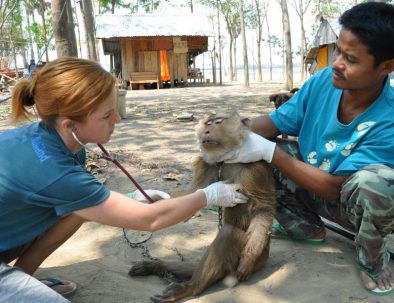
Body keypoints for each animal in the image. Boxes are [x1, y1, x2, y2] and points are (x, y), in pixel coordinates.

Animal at [127, 111, 276, 303]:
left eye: (218, 122)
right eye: (208, 124)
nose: (206, 132)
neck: (227, 160)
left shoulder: (256, 169)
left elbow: (264, 207)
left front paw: (248, 259)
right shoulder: (208, 165)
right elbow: (192, 195)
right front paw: (154, 198)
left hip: (260, 258)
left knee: (227, 233)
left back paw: (191, 288)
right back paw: (159, 267)